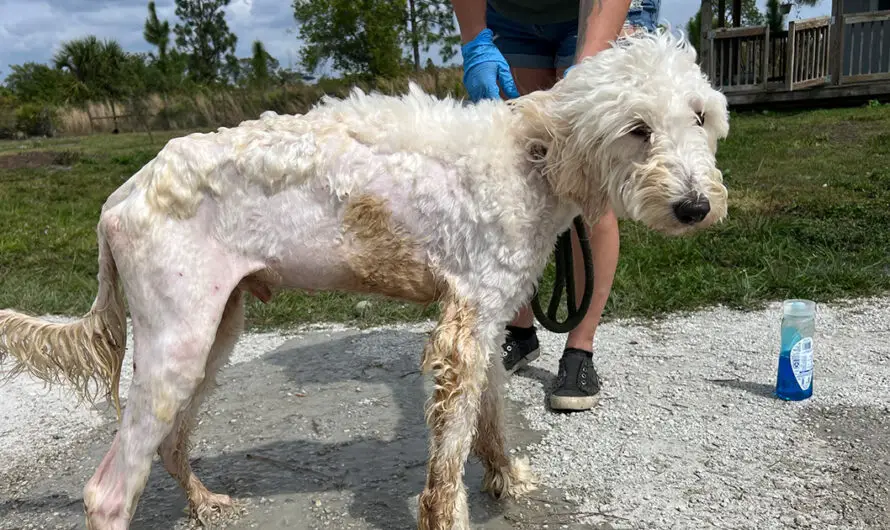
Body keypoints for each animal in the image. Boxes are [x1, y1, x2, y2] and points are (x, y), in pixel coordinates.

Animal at [0, 29, 724, 528]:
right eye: (637, 129)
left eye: (699, 117)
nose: (697, 207)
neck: (537, 152)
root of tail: (124, 191)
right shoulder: (461, 334)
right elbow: (448, 459)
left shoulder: (484, 319)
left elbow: (490, 422)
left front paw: (508, 480)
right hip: (176, 344)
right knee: (108, 490)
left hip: (210, 334)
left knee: (171, 445)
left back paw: (205, 504)